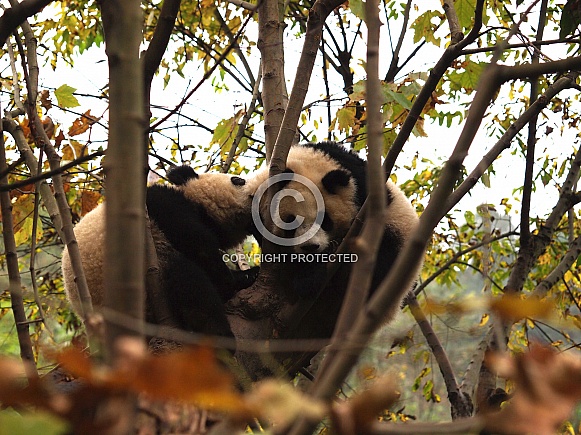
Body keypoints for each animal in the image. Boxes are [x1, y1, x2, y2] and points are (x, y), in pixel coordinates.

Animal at [60, 167, 256, 338]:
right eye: (238, 180)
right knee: (187, 279)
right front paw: (239, 278)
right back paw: (219, 334)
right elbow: (197, 243)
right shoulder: (160, 203)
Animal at [247, 141, 420, 340]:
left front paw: (312, 273)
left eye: (324, 220)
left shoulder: (364, 192)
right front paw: (307, 276)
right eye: (291, 221)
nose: (311, 247)